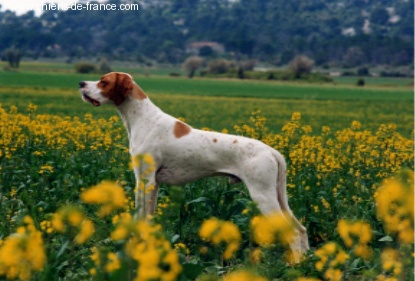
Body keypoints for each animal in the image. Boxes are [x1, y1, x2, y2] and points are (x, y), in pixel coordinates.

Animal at [79, 71, 310, 260]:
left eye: (103, 81)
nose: (81, 83)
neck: (143, 118)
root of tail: (271, 151)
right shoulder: (154, 184)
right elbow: (148, 217)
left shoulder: (144, 180)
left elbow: (140, 215)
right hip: (277, 197)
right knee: (301, 229)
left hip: (263, 196)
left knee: (292, 232)